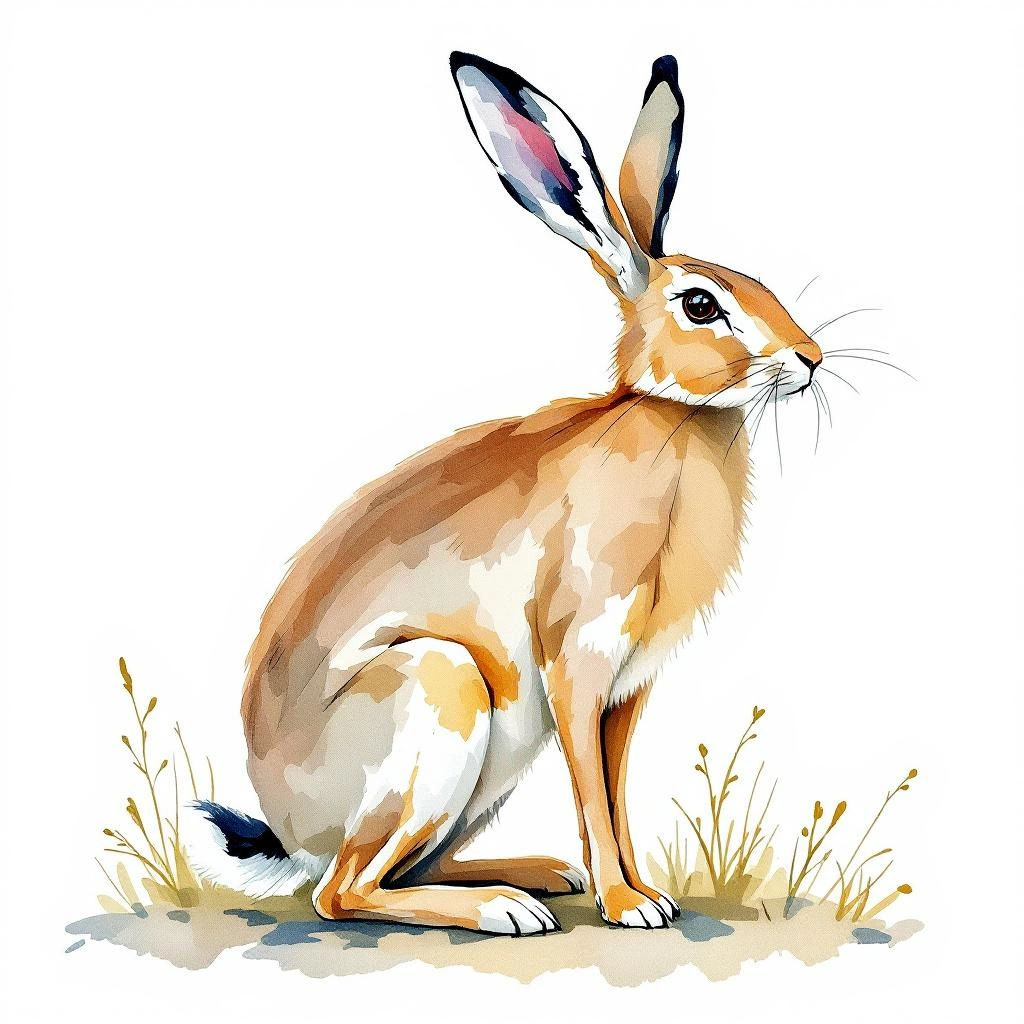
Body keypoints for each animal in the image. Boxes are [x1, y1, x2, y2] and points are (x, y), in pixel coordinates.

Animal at [187, 51, 822, 934]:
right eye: (702, 303)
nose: (812, 359)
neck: (665, 423)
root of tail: (287, 828)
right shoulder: (577, 659)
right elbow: (592, 790)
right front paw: (627, 904)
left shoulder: (627, 689)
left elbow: (615, 789)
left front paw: (643, 893)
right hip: (442, 693)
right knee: (342, 891)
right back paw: (504, 910)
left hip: (484, 771)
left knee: (405, 868)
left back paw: (537, 877)